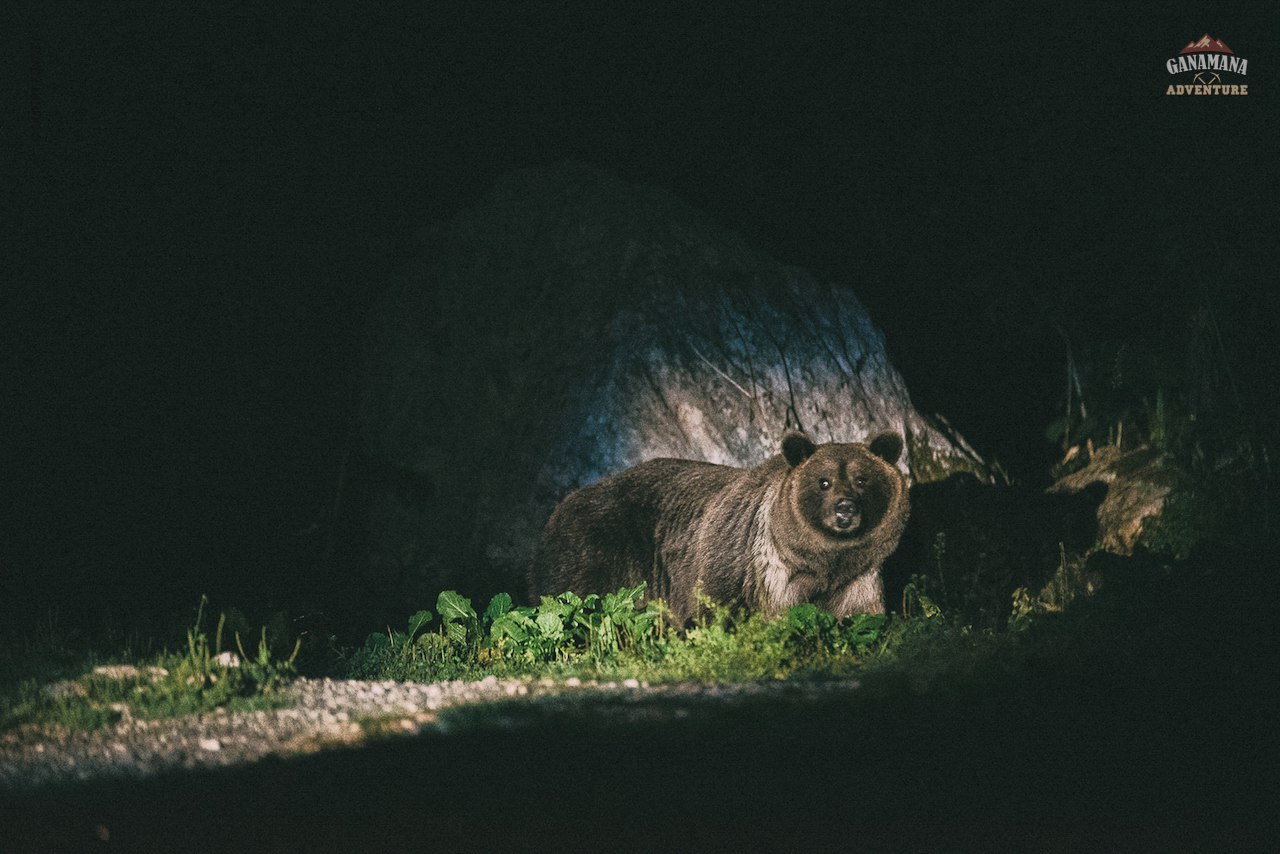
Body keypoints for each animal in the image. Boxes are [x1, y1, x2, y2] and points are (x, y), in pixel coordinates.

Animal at [529, 435, 911, 622]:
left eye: (862, 479)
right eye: (824, 481)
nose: (845, 509)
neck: (820, 565)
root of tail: (560, 506)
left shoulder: (857, 580)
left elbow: (863, 618)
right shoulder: (741, 565)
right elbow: (716, 610)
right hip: (602, 551)